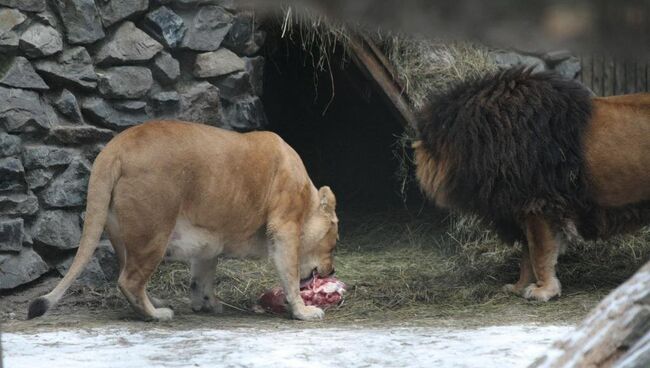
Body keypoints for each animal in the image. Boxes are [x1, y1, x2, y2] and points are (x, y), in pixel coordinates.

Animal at [412, 68, 644, 302]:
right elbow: (527, 255)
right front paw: (518, 287)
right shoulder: (518, 208)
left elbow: (539, 254)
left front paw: (543, 291)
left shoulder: (538, 205)